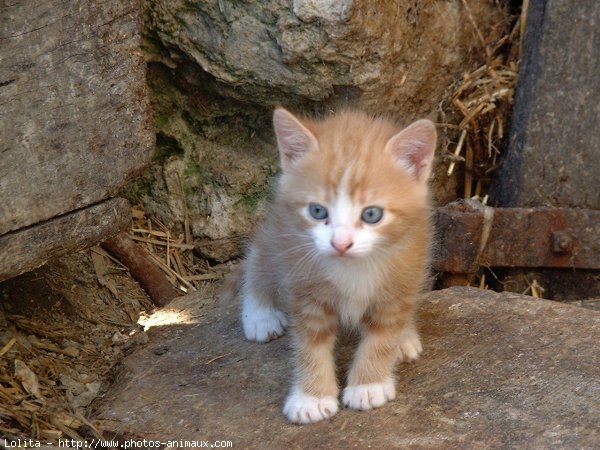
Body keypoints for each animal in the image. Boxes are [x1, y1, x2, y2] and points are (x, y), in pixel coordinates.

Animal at [239, 107, 436, 424]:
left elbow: (382, 336)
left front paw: (369, 385)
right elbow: (310, 346)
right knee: (259, 255)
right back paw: (259, 315)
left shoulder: (401, 276)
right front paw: (312, 397)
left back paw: (405, 338)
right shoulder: (305, 288)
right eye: (318, 211)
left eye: (372, 214)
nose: (341, 243)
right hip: (281, 232)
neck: (353, 268)